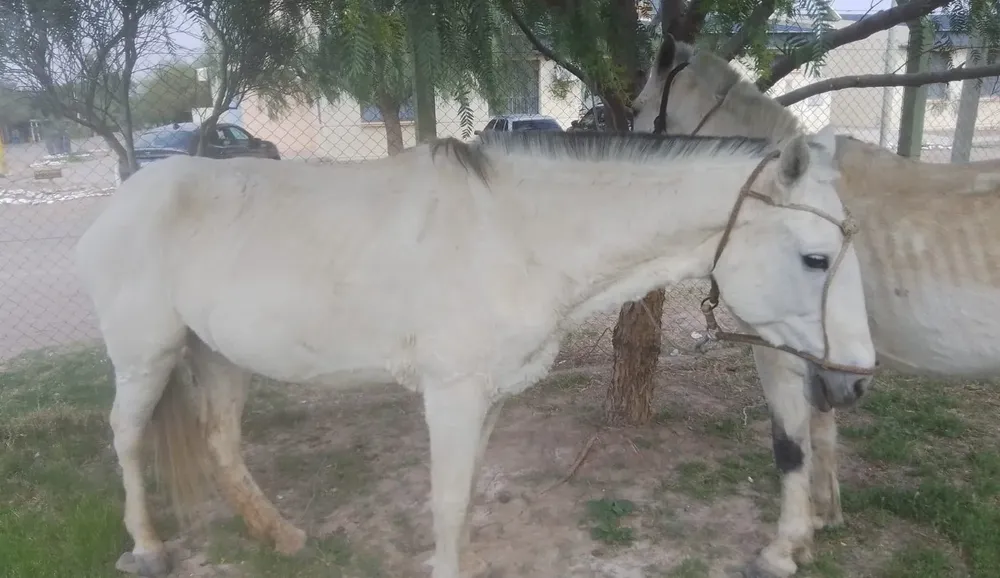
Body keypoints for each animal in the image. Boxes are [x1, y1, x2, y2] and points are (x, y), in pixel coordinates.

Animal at [74, 129, 877, 578]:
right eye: (815, 258)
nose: (853, 385)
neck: (515, 236)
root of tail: (125, 196)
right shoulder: (452, 394)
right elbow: (448, 499)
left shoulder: (488, 397)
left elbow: (464, 501)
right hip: (146, 356)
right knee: (126, 437)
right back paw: (147, 548)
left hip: (217, 355)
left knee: (220, 443)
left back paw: (279, 535)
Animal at [630, 33, 1000, 578]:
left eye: (637, 109)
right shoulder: (824, 359)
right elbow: (823, 433)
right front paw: (821, 520)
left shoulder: (779, 351)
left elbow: (790, 446)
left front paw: (783, 549)